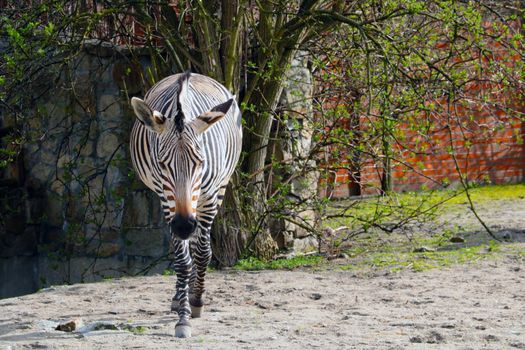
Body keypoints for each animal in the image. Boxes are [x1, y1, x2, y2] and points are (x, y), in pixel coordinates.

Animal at [129, 71, 242, 336]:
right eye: (162, 164)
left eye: (200, 161)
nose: (183, 226)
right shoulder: (166, 198)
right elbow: (182, 261)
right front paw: (183, 316)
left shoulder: (209, 196)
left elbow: (202, 253)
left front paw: (196, 301)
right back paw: (179, 296)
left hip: (219, 189)